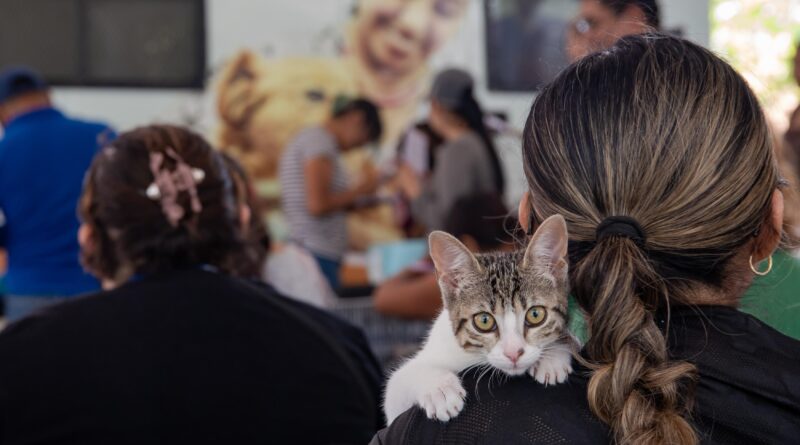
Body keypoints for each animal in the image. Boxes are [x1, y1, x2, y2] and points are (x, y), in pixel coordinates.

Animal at [382, 215, 576, 424]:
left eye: (535, 315)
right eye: (484, 321)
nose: (513, 353)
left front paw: (552, 357)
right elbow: (398, 384)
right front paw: (440, 389)